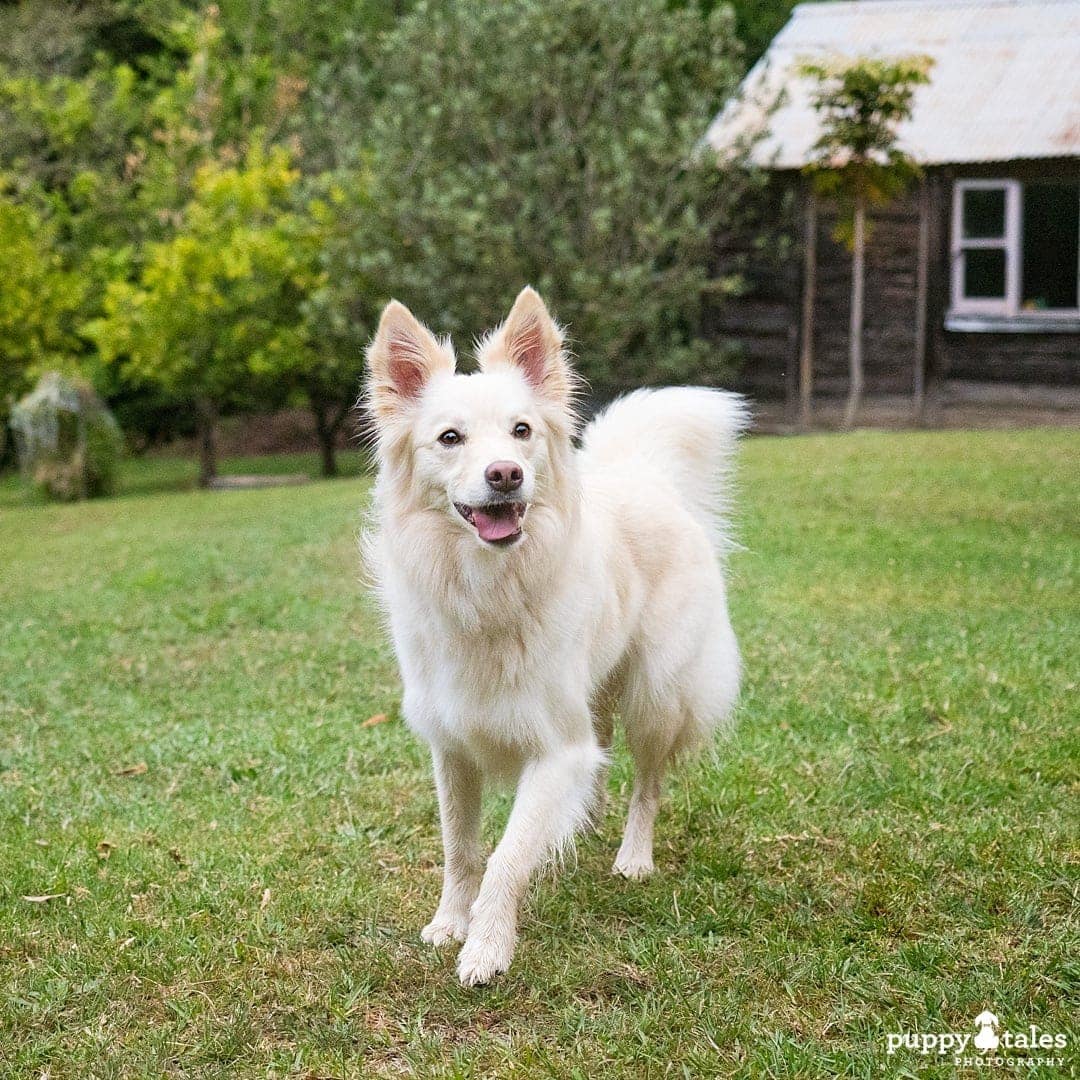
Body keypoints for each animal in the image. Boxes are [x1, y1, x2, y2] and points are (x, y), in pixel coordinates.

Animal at [362, 287, 743, 989]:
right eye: (449, 438)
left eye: (522, 431)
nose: (506, 474)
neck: (488, 587)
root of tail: (647, 477)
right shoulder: (451, 749)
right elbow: (461, 849)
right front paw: (449, 924)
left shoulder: (556, 749)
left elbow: (507, 857)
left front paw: (486, 948)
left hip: (656, 697)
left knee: (648, 783)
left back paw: (633, 857)